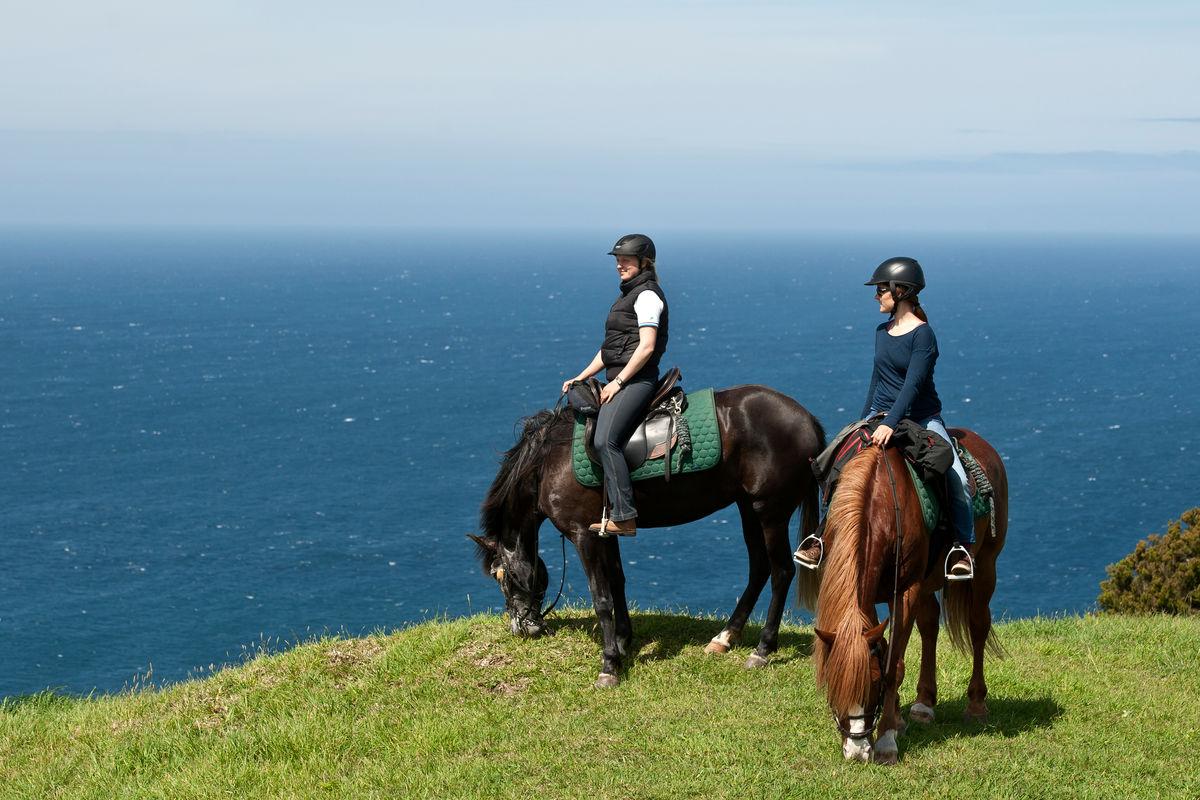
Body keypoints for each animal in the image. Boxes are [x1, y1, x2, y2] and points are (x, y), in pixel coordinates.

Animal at [468, 383, 825, 686]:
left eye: (502, 576)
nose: (522, 627)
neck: (547, 461)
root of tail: (807, 418)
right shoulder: (605, 531)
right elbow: (617, 581)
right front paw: (623, 640)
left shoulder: (583, 535)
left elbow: (600, 597)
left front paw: (609, 664)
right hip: (748, 507)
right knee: (759, 568)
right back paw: (725, 637)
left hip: (770, 511)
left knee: (781, 571)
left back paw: (763, 649)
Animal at [801, 429, 1008, 767]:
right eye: (834, 686)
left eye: (872, 685)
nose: (857, 751)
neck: (879, 506)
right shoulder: (874, 596)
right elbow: (885, 648)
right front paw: (897, 720)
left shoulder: (906, 590)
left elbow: (893, 665)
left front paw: (887, 741)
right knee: (929, 625)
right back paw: (924, 704)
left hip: (986, 563)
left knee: (978, 626)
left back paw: (976, 705)